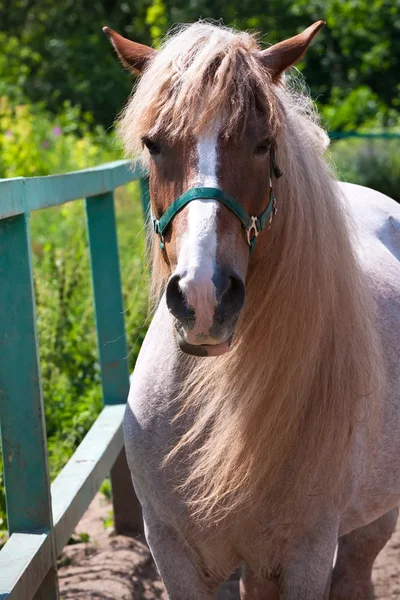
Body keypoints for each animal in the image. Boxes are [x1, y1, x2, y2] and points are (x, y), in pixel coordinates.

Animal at [103, 19, 400, 600]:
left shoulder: (306, 556)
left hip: (370, 523)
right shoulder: (177, 555)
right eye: (153, 143)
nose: (203, 296)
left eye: (264, 145)